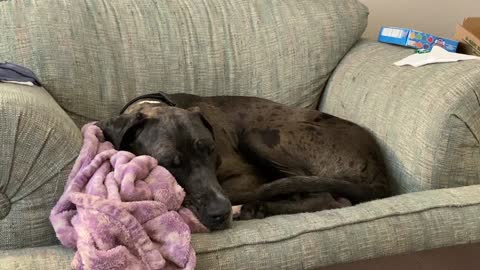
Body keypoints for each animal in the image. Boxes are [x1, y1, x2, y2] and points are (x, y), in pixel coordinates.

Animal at [97, 93, 390, 230]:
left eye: (211, 149)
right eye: (170, 163)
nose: (220, 213)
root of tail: (381, 171)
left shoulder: (245, 175)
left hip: (257, 136)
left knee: (327, 197)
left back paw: (258, 207)